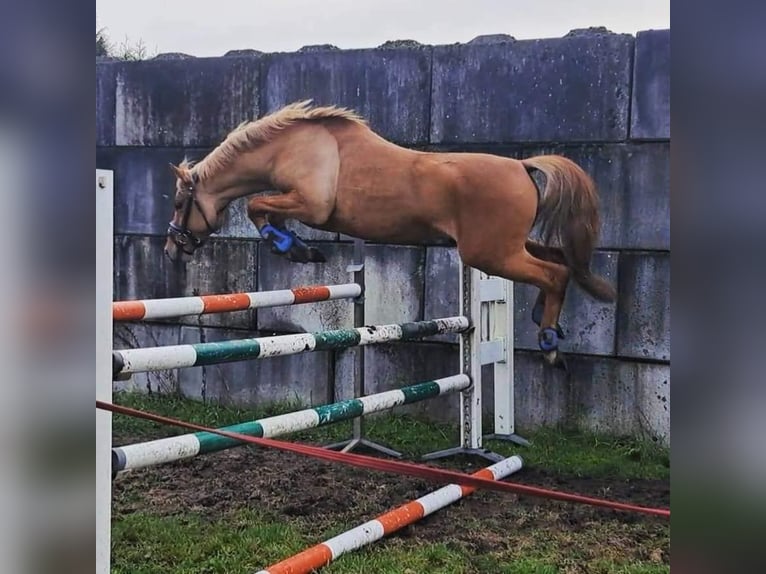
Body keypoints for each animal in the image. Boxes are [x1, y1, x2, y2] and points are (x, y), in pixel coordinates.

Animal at [164, 100, 616, 366]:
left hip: (490, 254)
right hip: (508, 246)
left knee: (555, 273)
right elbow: (261, 208)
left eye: (178, 202)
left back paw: (549, 343)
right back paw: (547, 321)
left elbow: (256, 206)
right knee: (561, 260)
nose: (171, 249)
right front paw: (297, 247)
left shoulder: (311, 206)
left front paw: (294, 248)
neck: (291, 145)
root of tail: (523, 166)